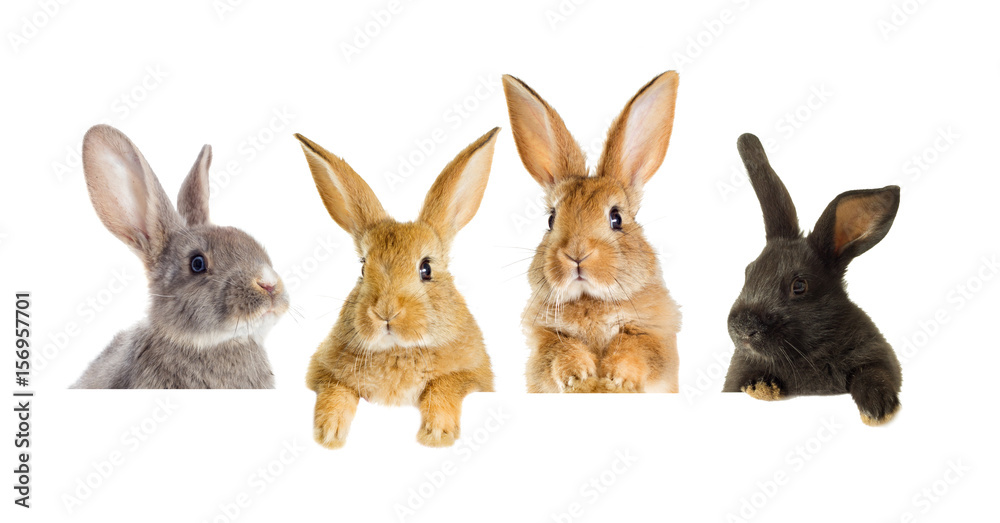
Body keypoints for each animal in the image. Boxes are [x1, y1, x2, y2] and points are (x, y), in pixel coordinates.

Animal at [295, 128, 498, 448]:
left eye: (426, 269)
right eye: (363, 267)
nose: (385, 312)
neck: (397, 350)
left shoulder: (474, 375)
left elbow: (446, 384)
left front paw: (436, 435)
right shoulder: (324, 373)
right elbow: (336, 390)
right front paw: (328, 433)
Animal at [502, 71, 683, 393]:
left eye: (616, 218)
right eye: (551, 219)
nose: (577, 255)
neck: (591, 300)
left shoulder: (654, 336)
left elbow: (635, 350)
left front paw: (616, 378)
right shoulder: (545, 342)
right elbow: (560, 352)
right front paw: (580, 376)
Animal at [723, 133, 903, 426]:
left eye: (799, 286)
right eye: (749, 271)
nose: (743, 328)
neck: (807, 353)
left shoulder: (878, 356)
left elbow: (873, 374)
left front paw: (878, 410)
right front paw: (762, 388)